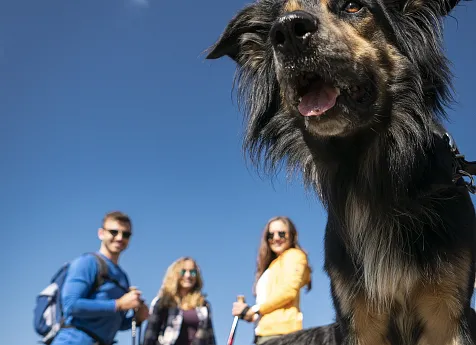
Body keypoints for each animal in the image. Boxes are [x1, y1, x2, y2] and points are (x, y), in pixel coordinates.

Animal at [207, 0, 476, 342]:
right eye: (273, 31)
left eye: (352, 7)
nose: (287, 31)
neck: (368, 172)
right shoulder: (358, 315)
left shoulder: (447, 312)